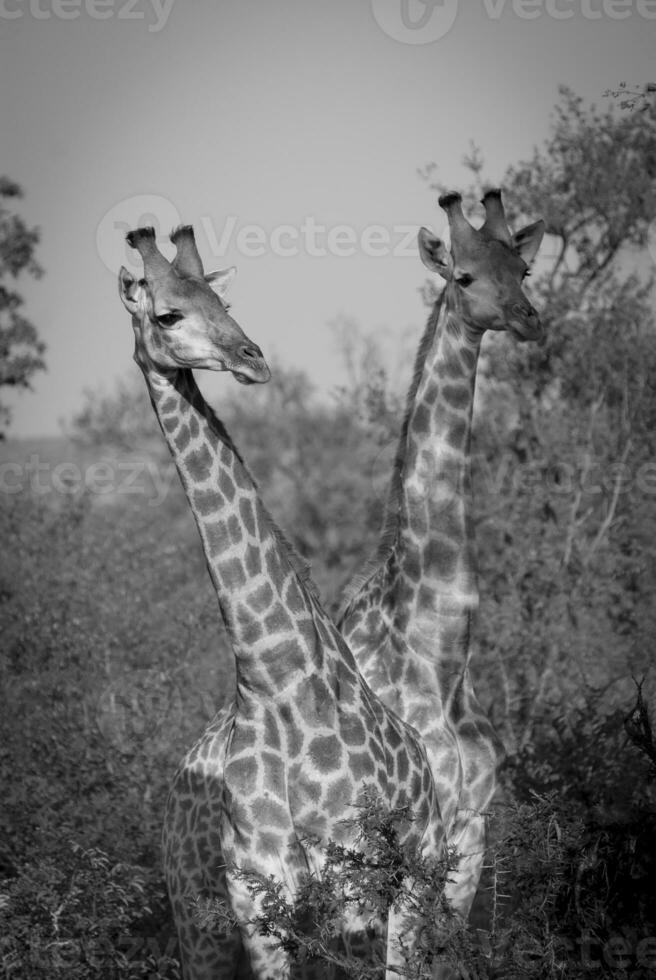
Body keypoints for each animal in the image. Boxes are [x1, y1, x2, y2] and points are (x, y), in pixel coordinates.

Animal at [118, 224, 446, 980]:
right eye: (167, 315)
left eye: (224, 302)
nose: (253, 358)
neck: (272, 682)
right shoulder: (257, 905)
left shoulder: (354, 892)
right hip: (198, 916)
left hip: (415, 886)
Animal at [336, 191, 544, 928]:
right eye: (465, 276)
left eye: (524, 271)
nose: (527, 319)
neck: (441, 652)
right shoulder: (416, 835)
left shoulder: (471, 831)